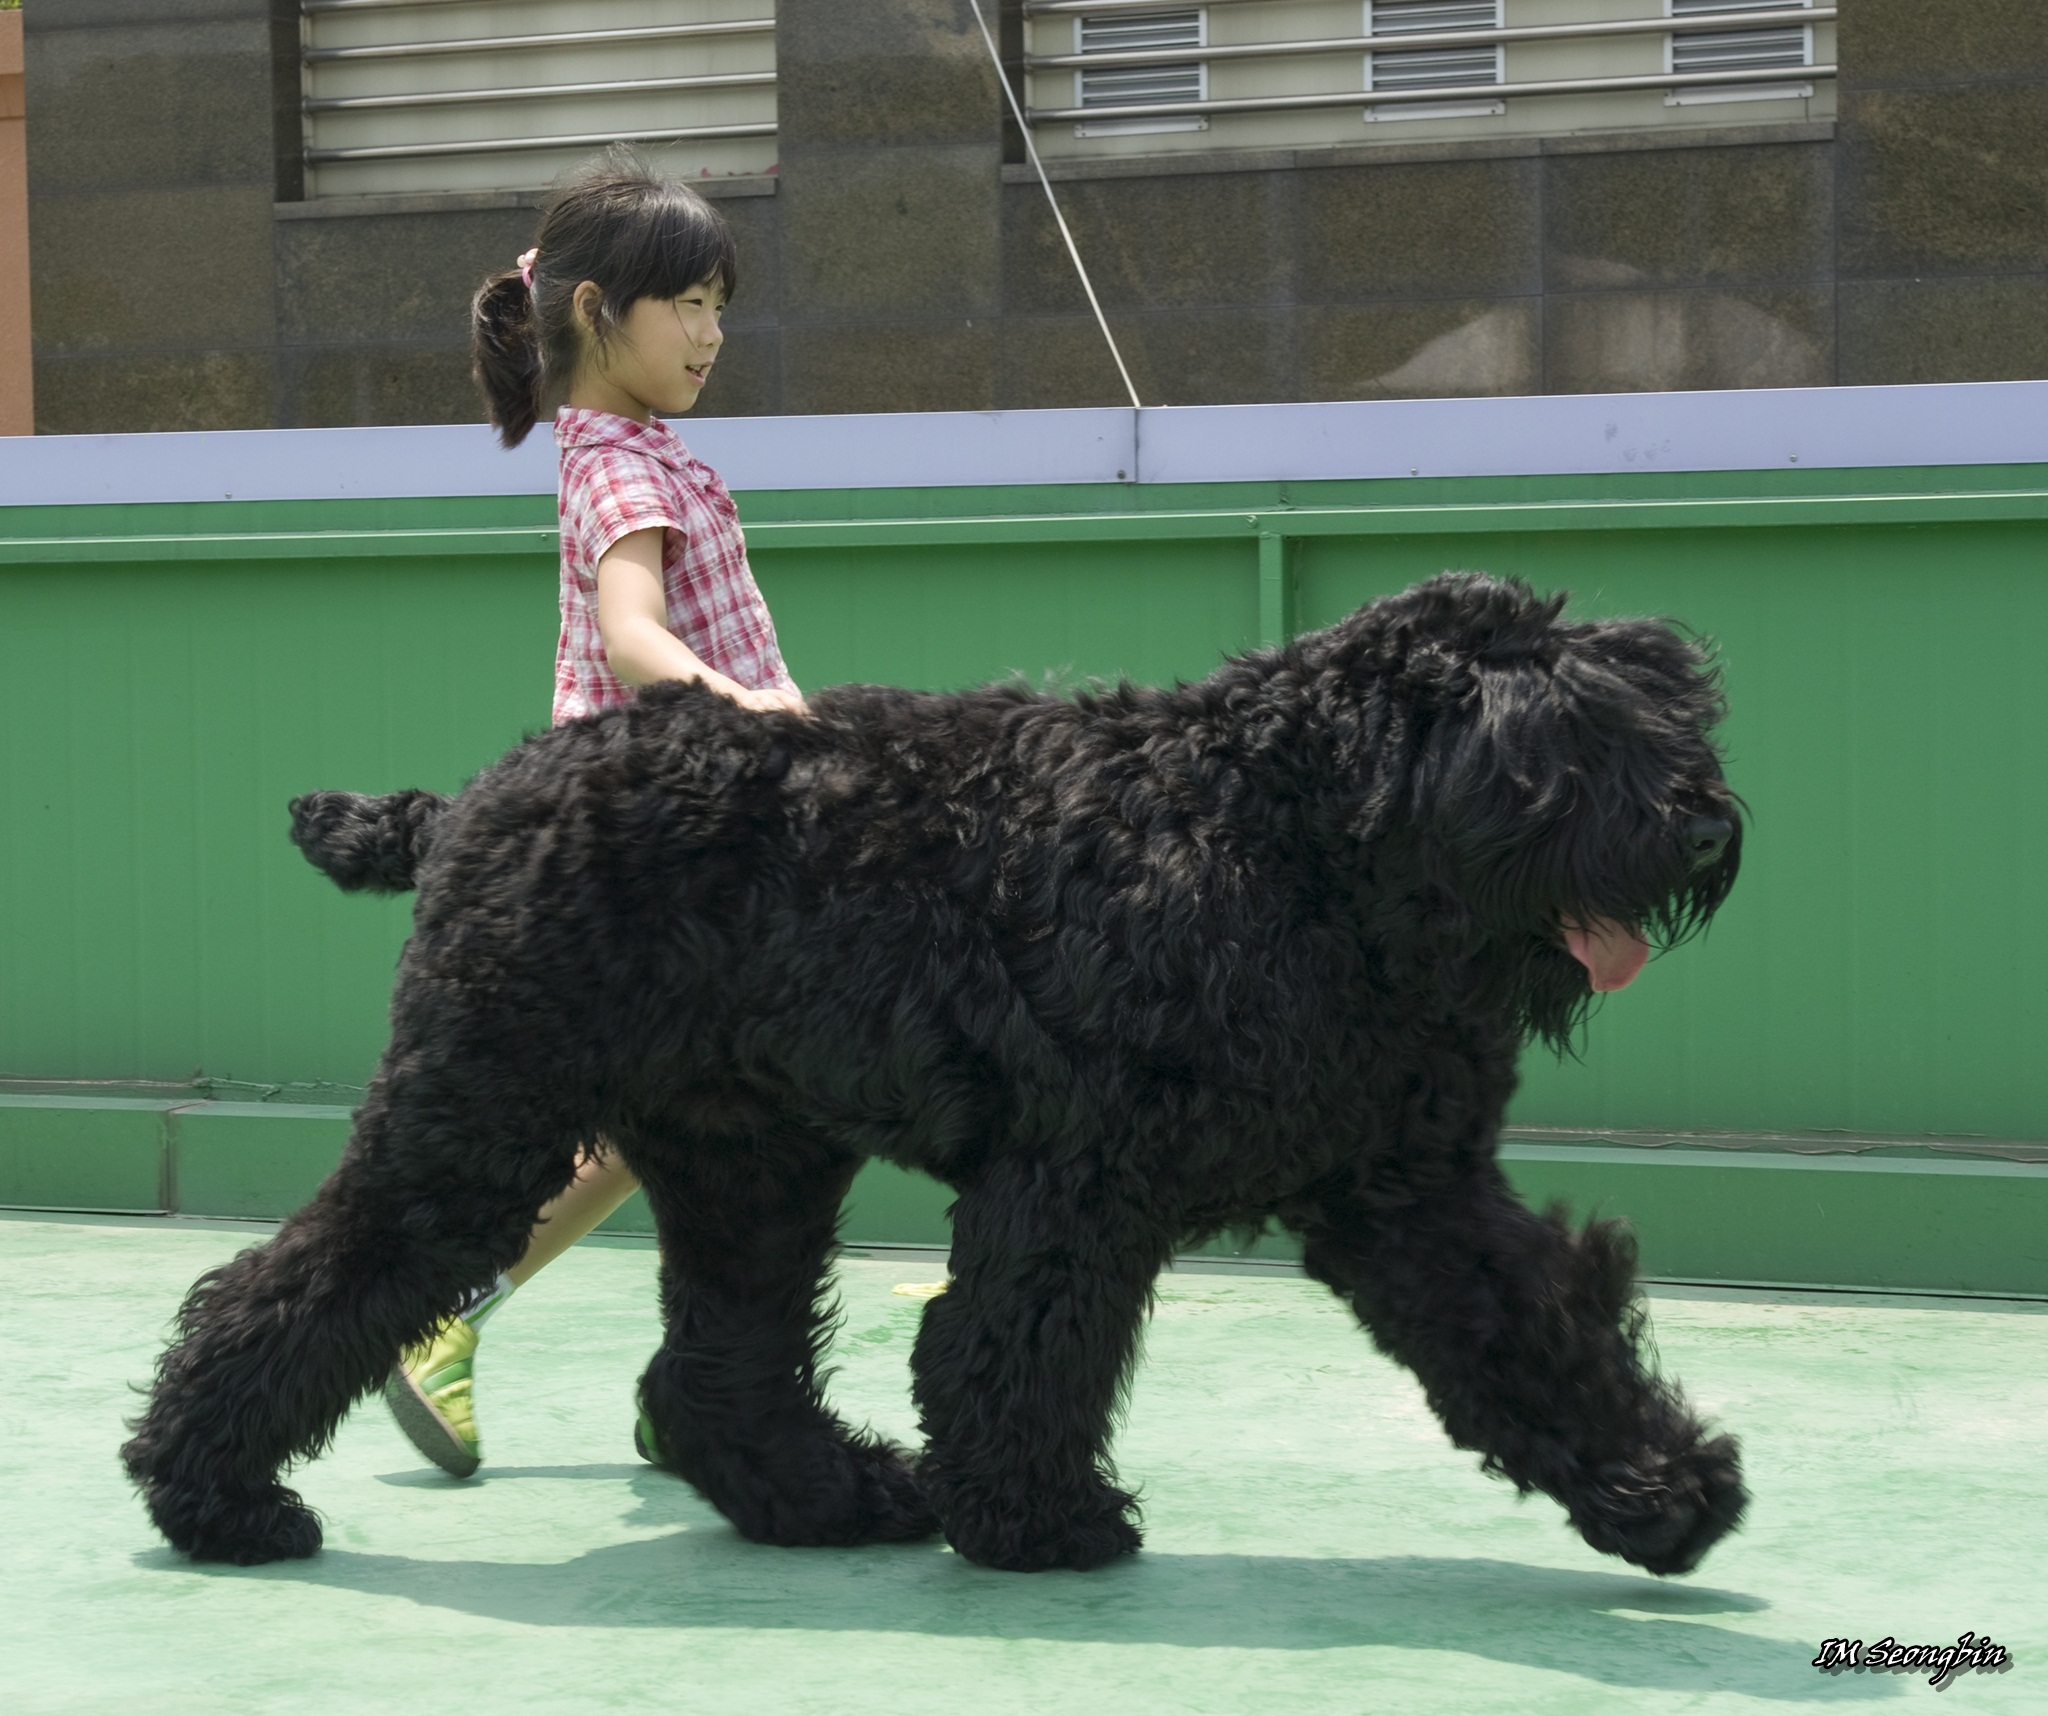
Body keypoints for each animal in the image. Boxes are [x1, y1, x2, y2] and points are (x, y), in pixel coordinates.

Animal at [123, 581, 1744, 1589]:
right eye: (1561, 740)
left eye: (1669, 712)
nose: (1703, 825)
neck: (1290, 838)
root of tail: (469, 800)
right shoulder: (1077, 1176)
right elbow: (1012, 1346)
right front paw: (1042, 1519)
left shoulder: (1408, 1191)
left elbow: (1530, 1332)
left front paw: (1661, 1495)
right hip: (481, 1125)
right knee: (302, 1283)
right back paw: (216, 1499)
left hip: (748, 1167)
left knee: (712, 1370)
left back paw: (832, 1498)